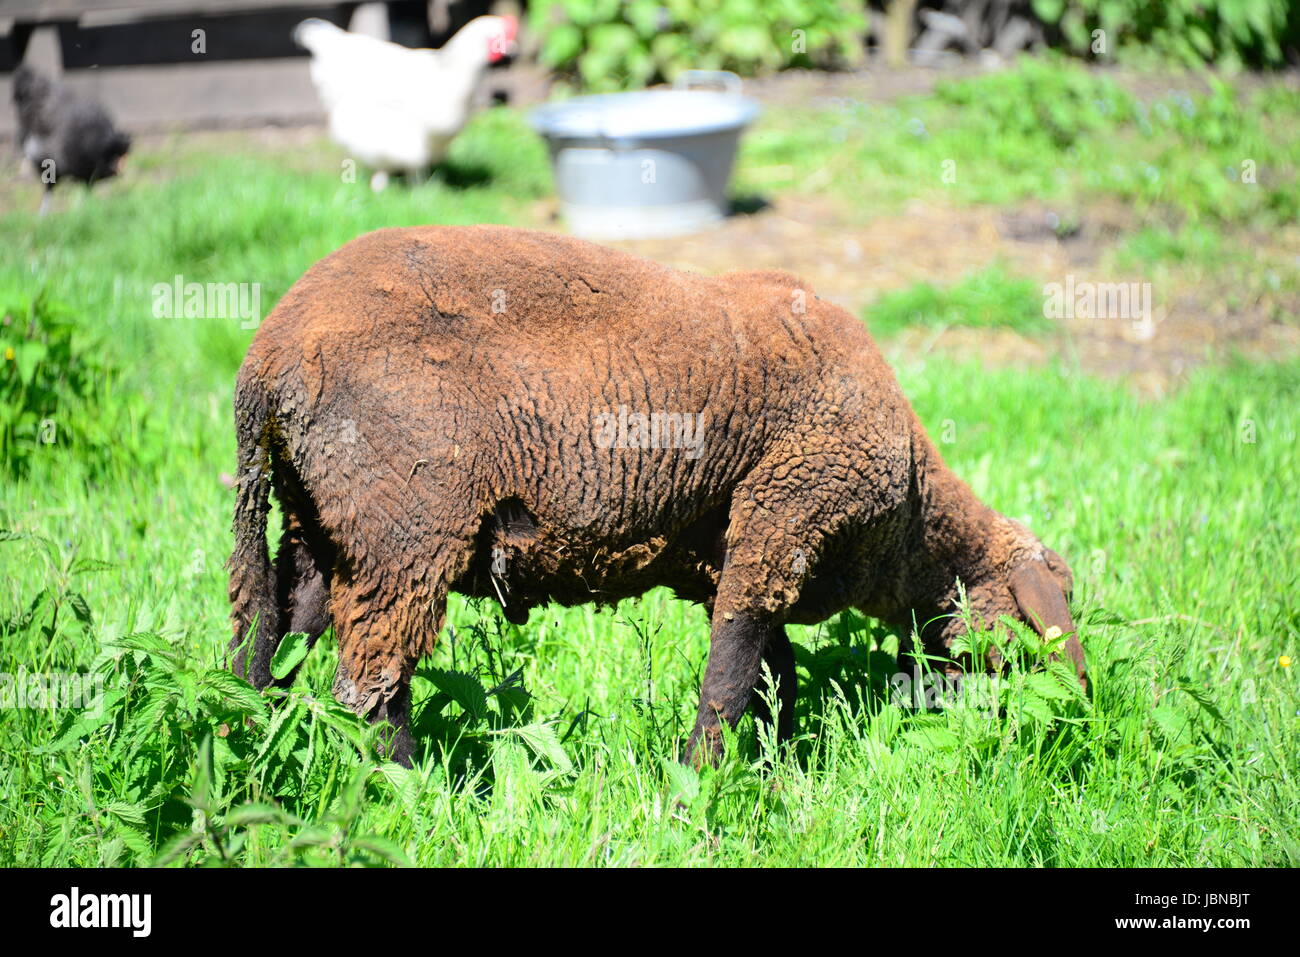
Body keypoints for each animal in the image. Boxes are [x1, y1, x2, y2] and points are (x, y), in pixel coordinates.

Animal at [228, 224, 1085, 766]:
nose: (1022, 724)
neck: (910, 524)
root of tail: (267, 355)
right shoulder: (787, 510)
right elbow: (735, 668)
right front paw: (700, 777)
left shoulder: (734, 547)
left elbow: (772, 669)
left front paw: (772, 765)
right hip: (406, 527)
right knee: (371, 682)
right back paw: (413, 787)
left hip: (324, 520)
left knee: (280, 638)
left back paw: (254, 740)